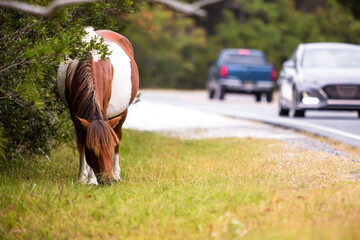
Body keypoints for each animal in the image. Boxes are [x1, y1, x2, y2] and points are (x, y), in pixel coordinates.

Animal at [57, 28, 139, 186]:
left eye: (110, 147)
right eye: (92, 149)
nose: (108, 181)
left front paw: (92, 179)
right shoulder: (75, 114)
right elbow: (81, 143)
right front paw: (83, 178)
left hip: (122, 112)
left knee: (118, 134)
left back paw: (117, 174)